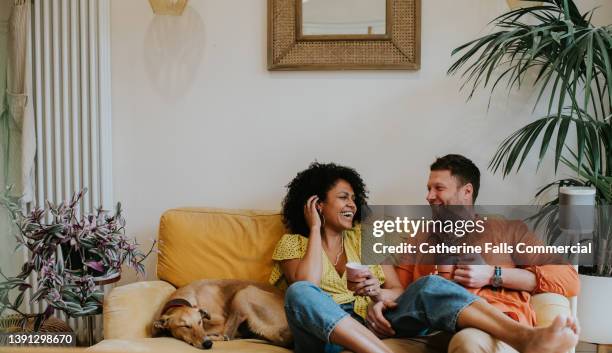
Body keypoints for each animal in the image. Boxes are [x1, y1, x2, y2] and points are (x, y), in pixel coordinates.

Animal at [152, 278, 292, 350]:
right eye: (185, 326)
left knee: (227, 336)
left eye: (199, 322)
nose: (207, 344)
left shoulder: (220, 322)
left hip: (243, 293)